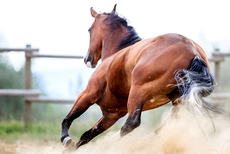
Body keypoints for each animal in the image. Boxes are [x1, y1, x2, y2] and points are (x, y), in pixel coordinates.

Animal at [60, 4, 222, 152]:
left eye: (89, 29)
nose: (87, 59)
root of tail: (193, 51)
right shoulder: (112, 114)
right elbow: (87, 135)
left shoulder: (89, 94)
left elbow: (69, 117)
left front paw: (66, 140)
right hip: (178, 100)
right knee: (166, 126)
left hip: (138, 92)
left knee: (131, 123)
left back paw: (113, 144)